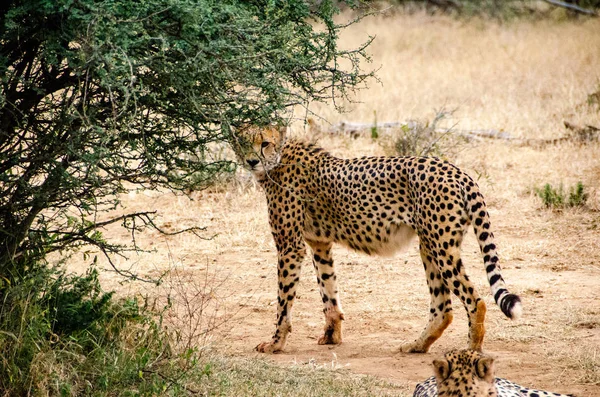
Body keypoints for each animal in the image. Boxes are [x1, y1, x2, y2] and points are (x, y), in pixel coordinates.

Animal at [232, 124, 524, 352]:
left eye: (265, 143)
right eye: (243, 142)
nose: (251, 161)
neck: (278, 160)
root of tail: (457, 171)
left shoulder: (290, 247)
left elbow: (283, 301)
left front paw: (275, 343)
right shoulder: (319, 243)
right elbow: (329, 292)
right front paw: (332, 336)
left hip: (441, 246)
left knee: (475, 300)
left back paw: (472, 349)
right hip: (430, 245)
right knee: (443, 307)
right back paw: (417, 345)